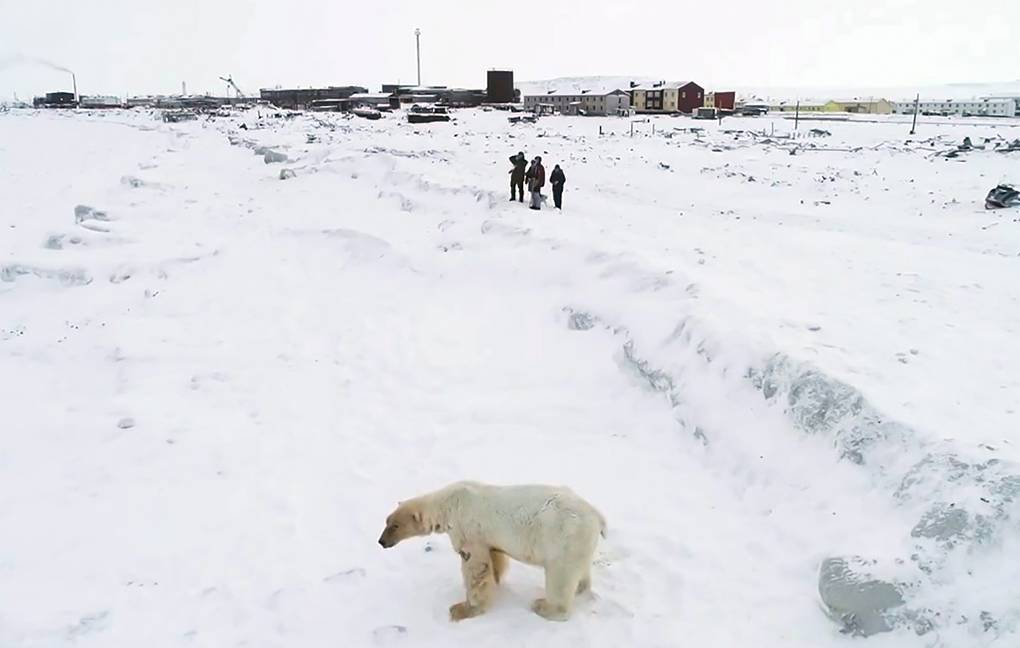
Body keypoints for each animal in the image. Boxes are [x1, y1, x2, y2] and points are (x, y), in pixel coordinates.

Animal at [381, 481, 603, 624]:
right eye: (387, 521)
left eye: (395, 526)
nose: (381, 541)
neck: (448, 502)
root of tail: (597, 516)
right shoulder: (488, 537)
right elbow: (495, 556)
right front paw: (496, 578)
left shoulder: (467, 528)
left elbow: (475, 565)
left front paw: (462, 609)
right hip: (578, 544)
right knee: (580, 570)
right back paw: (580, 590)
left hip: (562, 537)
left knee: (560, 577)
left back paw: (543, 606)